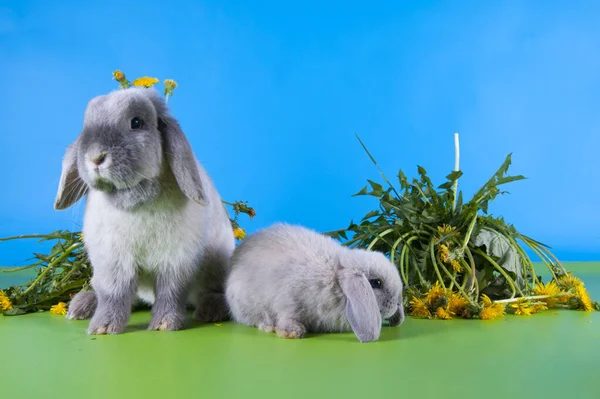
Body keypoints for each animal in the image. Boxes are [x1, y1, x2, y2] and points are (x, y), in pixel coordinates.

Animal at [55, 86, 234, 334]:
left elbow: (170, 292)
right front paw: (103, 327)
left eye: (137, 122)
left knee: (211, 292)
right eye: (85, 125)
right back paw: (83, 305)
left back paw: (210, 310)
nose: (95, 157)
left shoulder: (175, 260)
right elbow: (113, 294)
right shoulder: (112, 262)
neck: (134, 200)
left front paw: (164, 325)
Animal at [225, 223, 404, 342]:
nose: (397, 303)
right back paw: (268, 325)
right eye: (376, 283)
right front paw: (292, 332)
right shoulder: (288, 299)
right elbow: (288, 314)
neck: (334, 277)